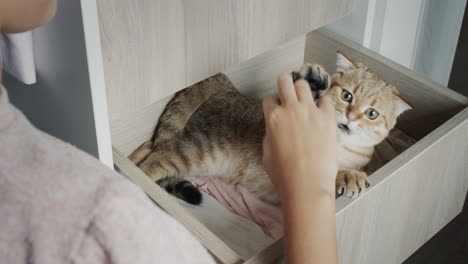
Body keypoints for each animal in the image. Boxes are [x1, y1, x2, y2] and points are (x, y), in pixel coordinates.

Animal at [130, 51, 412, 204]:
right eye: (346, 95)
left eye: (372, 114)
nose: (351, 118)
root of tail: (228, 89)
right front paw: (314, 80)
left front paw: (350, 174)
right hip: (192, 153)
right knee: (150, 162)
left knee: (150, 152)